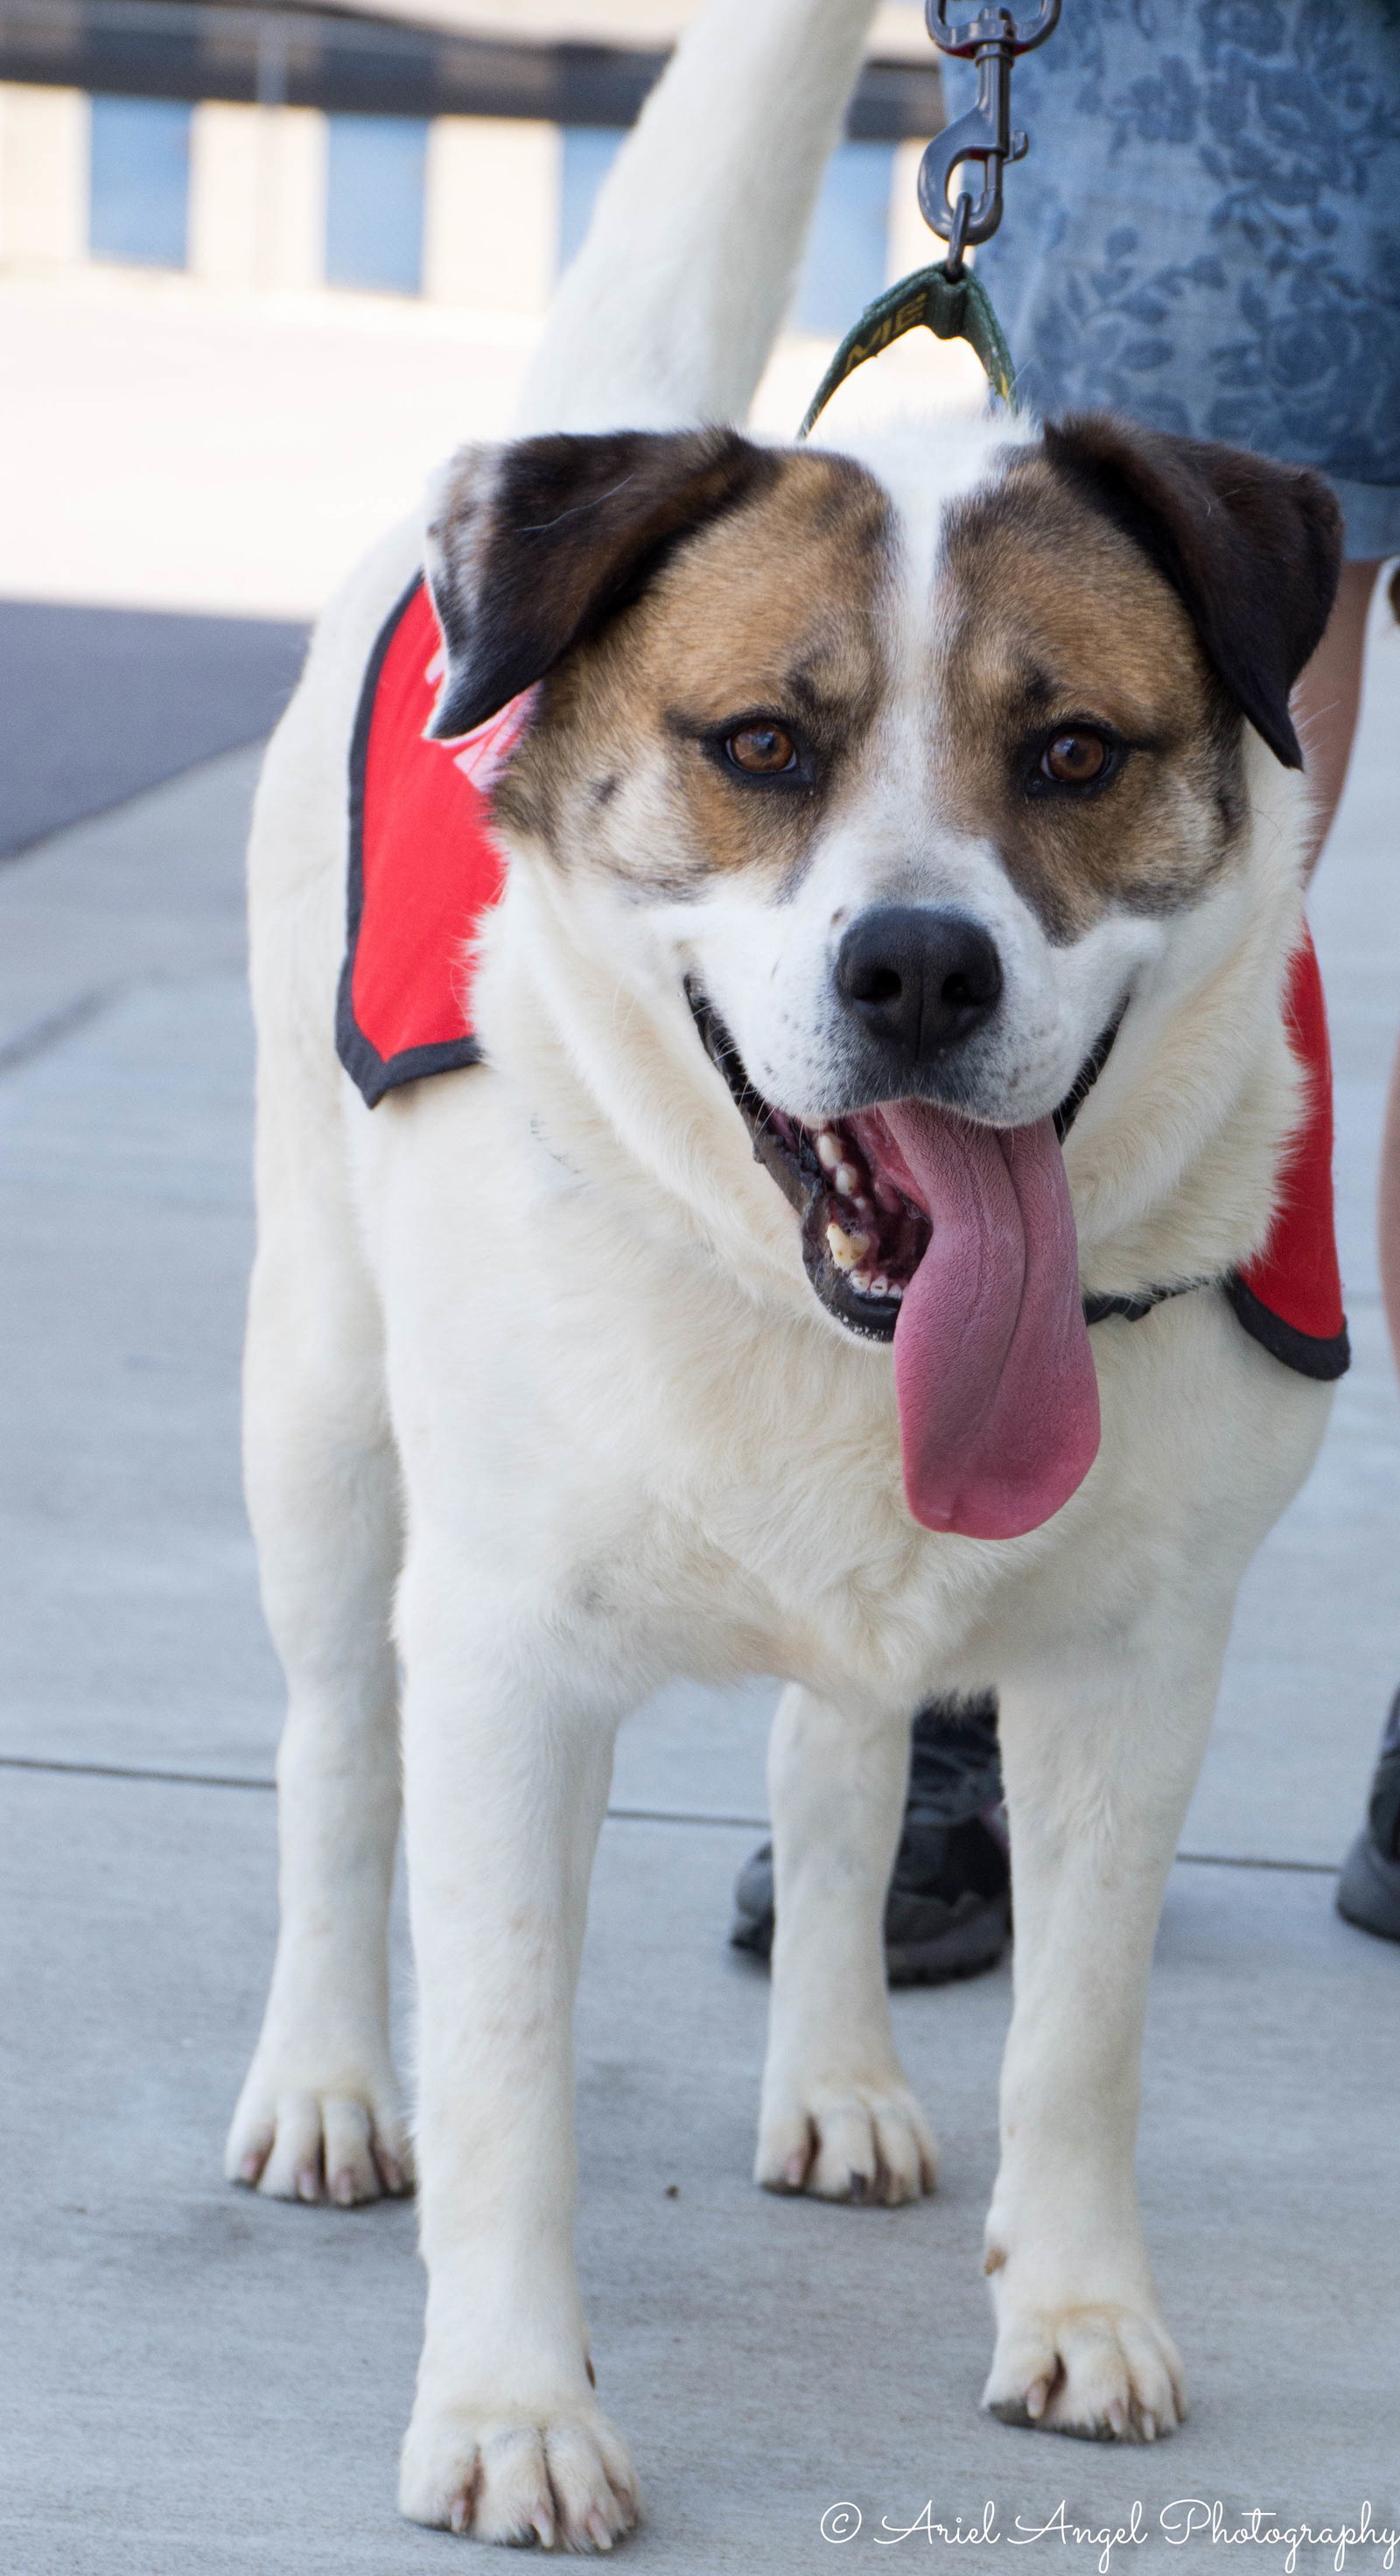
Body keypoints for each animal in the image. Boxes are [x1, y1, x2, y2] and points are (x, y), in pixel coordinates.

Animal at [227, 0, 1351, 2534]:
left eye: (1074, 752)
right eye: (759, 743)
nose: (919, 969)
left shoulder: (1135, 1662)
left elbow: (1084, 2030)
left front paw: (1078, 2308)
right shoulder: (508, 1659)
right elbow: (506, 2054)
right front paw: (510, 2408)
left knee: (836, 1760)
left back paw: (835, 2078)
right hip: (322, 1407)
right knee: (335, 1748)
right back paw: (329, 2081)